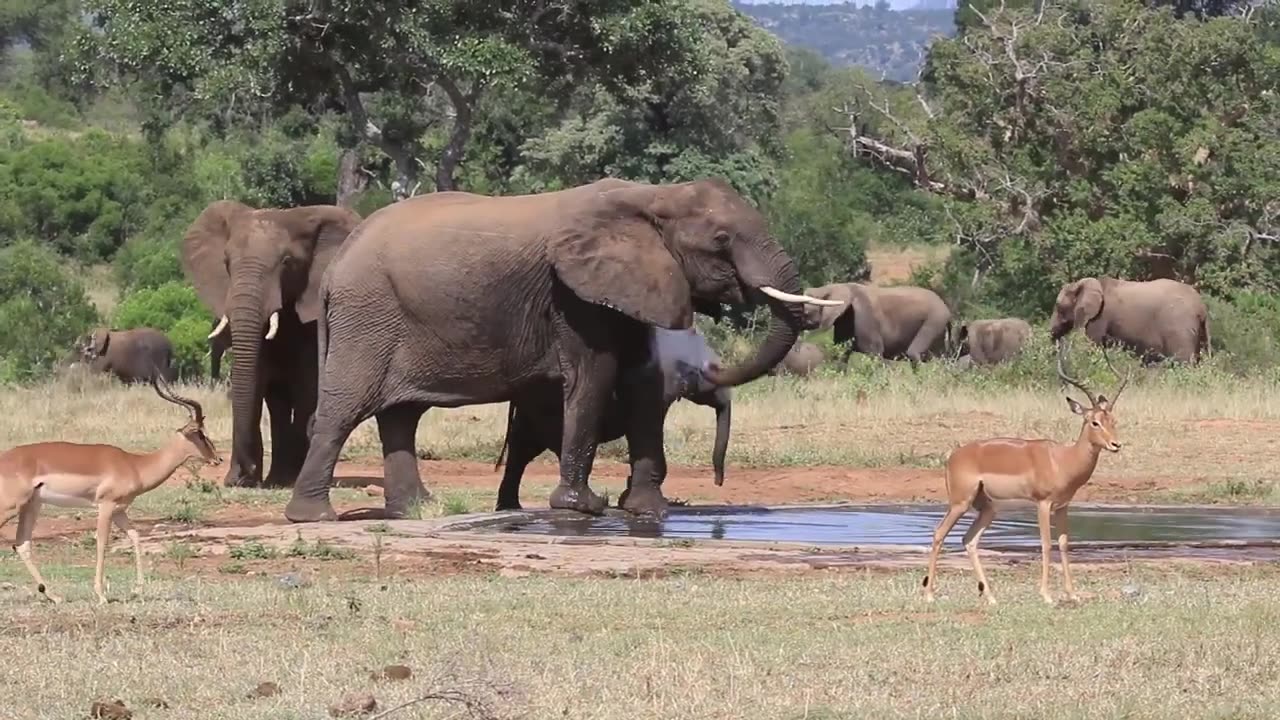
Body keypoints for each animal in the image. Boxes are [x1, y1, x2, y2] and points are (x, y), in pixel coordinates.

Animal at [179, 196, 366, 486]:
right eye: (226, 262)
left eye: (287, 262)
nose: (238, 476)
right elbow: (264, 385)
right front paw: (252, 480)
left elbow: (305, 384)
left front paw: (284, 480)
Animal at [798, 281, 952, 361]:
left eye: (805, 313)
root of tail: (947, 310)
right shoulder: (844, 321)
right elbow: (841, 354)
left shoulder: (863, 318)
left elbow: (875, 352)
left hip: (934, 321)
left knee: (913, 353)